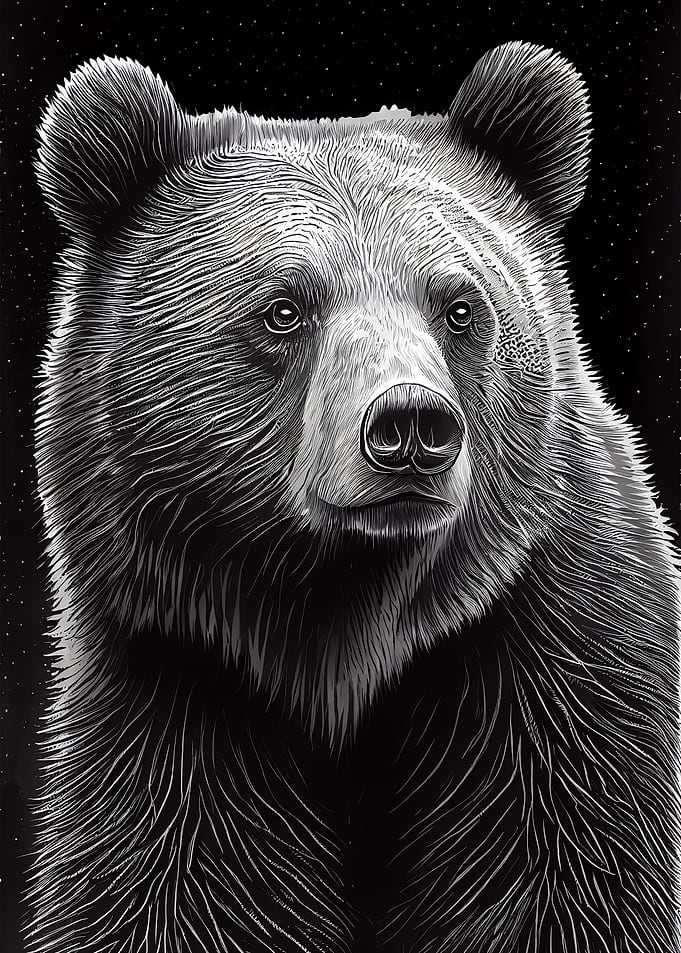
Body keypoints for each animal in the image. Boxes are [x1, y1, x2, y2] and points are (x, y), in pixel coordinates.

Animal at [26, 41, 679, 953]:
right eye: (282, 308)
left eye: (460, 306)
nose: (409, 424)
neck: (343, 635)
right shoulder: (175, 686)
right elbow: (159, 889)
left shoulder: (555, 680)